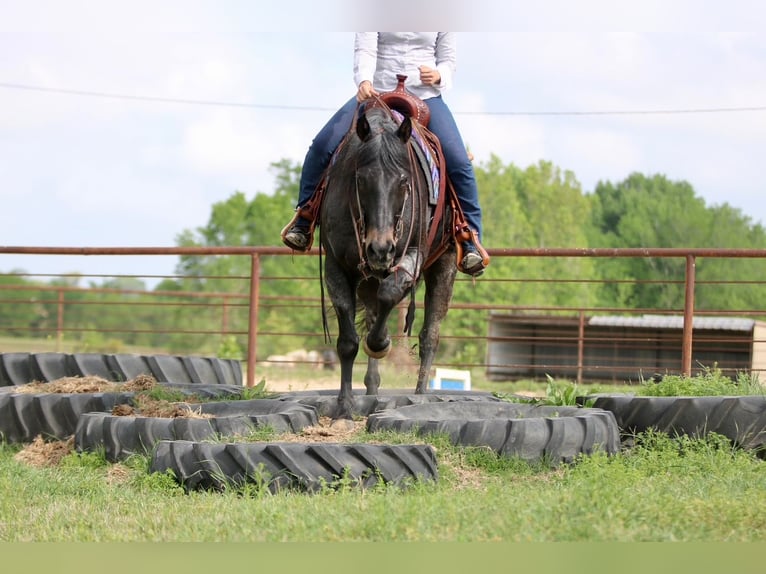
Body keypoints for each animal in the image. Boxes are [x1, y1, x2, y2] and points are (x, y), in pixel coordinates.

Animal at [319, 104, 458, 425]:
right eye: (360, 180)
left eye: (404, 182)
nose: (380, 248)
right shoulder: (336, 266)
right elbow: (348, 342)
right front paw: (344, 408)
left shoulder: (413, 256)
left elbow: (390, 296)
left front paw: (380, 343)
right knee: (372, 314)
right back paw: (371, 390)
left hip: (445, 264)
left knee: (429, 334)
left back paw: (421, 396)